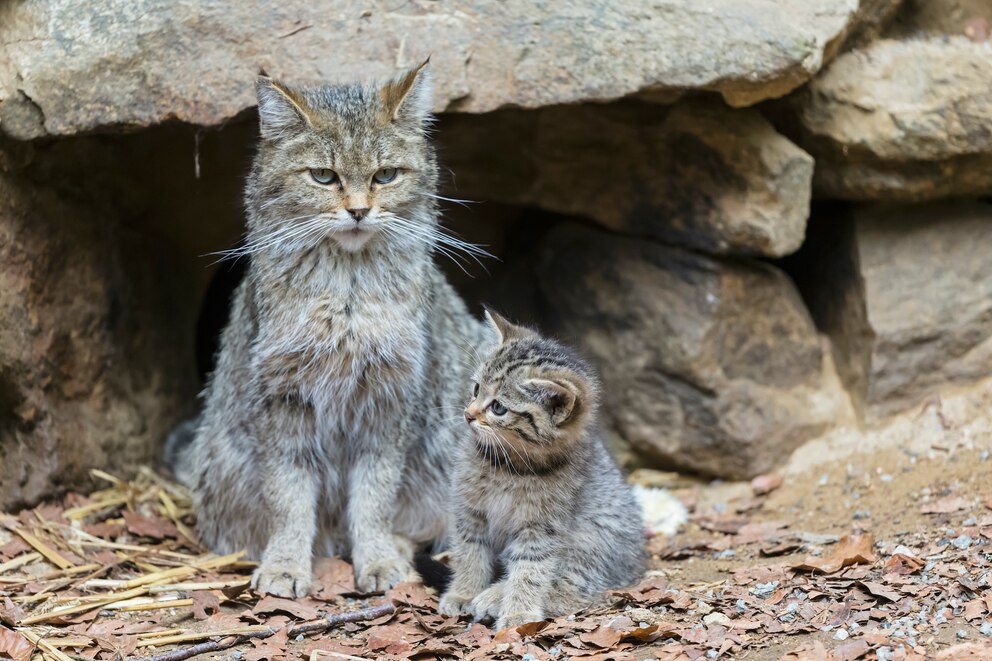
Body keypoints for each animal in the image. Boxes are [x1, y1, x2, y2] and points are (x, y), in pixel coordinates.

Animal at [177, 62, 492, 596]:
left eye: (385, 175)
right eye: (324, 176)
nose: (359, 210)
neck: (347, 298)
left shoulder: (389, 403)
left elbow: (374, 498)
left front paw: (379, 558)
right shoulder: (282, 402)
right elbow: (288, 498)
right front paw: (285, 564)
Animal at [438, 310, 648, 628]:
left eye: (498, 408)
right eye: (476, 389)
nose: (467, 414)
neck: (510, 468)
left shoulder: (542, 528)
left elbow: (531, 570)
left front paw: (518, 612)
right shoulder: (469, 512)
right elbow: (469, 552)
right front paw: (464, 592)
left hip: (594, 537)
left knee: (574, 587)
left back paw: (495, 598)